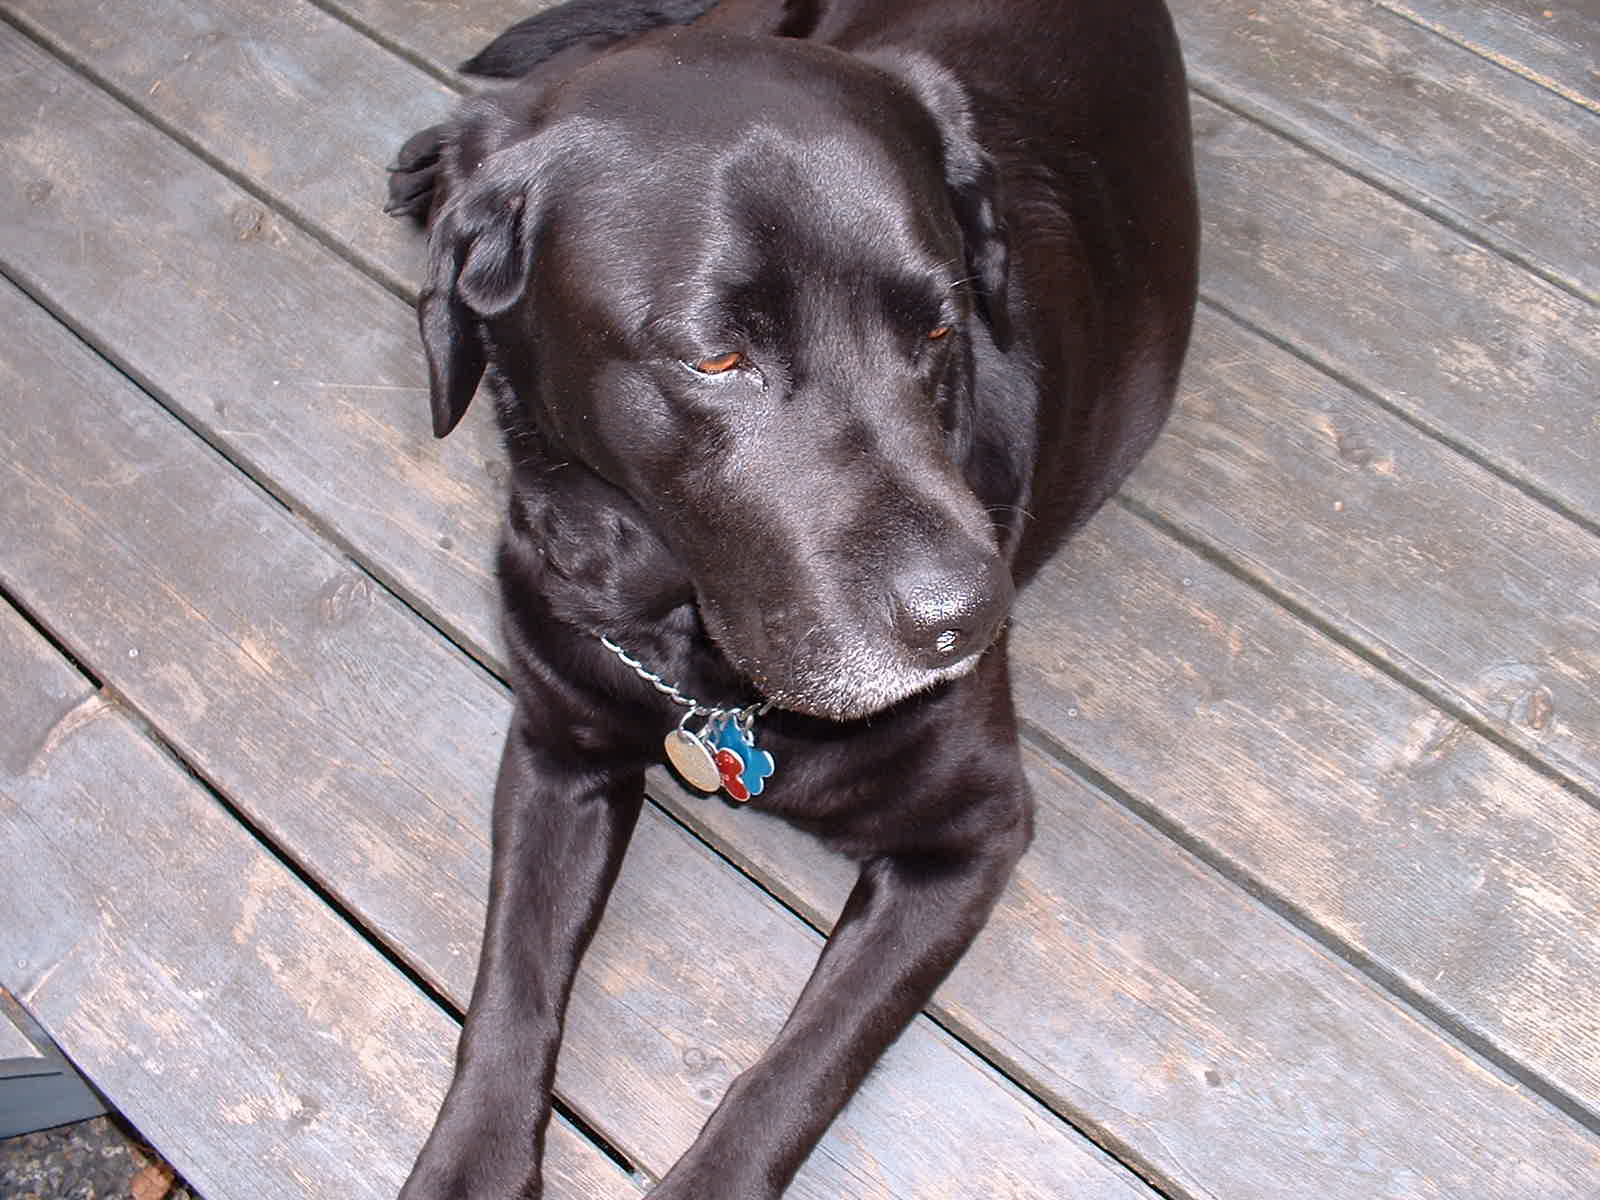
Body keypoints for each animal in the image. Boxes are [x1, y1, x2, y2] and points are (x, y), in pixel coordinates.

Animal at [384, 4, 1190, 1196]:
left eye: (941, 329)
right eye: (718, 357)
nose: (965, 621)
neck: (691, 658)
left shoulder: (974, 832)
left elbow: (800, 1068)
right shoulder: (554, 750)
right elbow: (511, 988)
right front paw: (468, 1166)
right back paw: (430, 160)